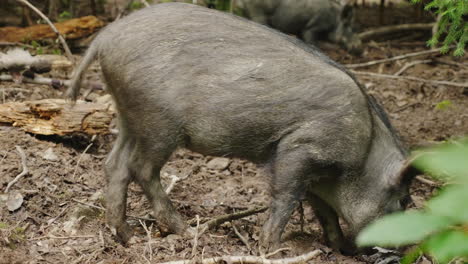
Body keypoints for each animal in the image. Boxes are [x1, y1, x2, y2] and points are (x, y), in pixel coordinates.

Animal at [236, 0, 364, 54]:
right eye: (352, 28)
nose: (362, 51)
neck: (334, 21)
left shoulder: (300, 31)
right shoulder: (312, 28)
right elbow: (313, 43)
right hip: (258, 12)